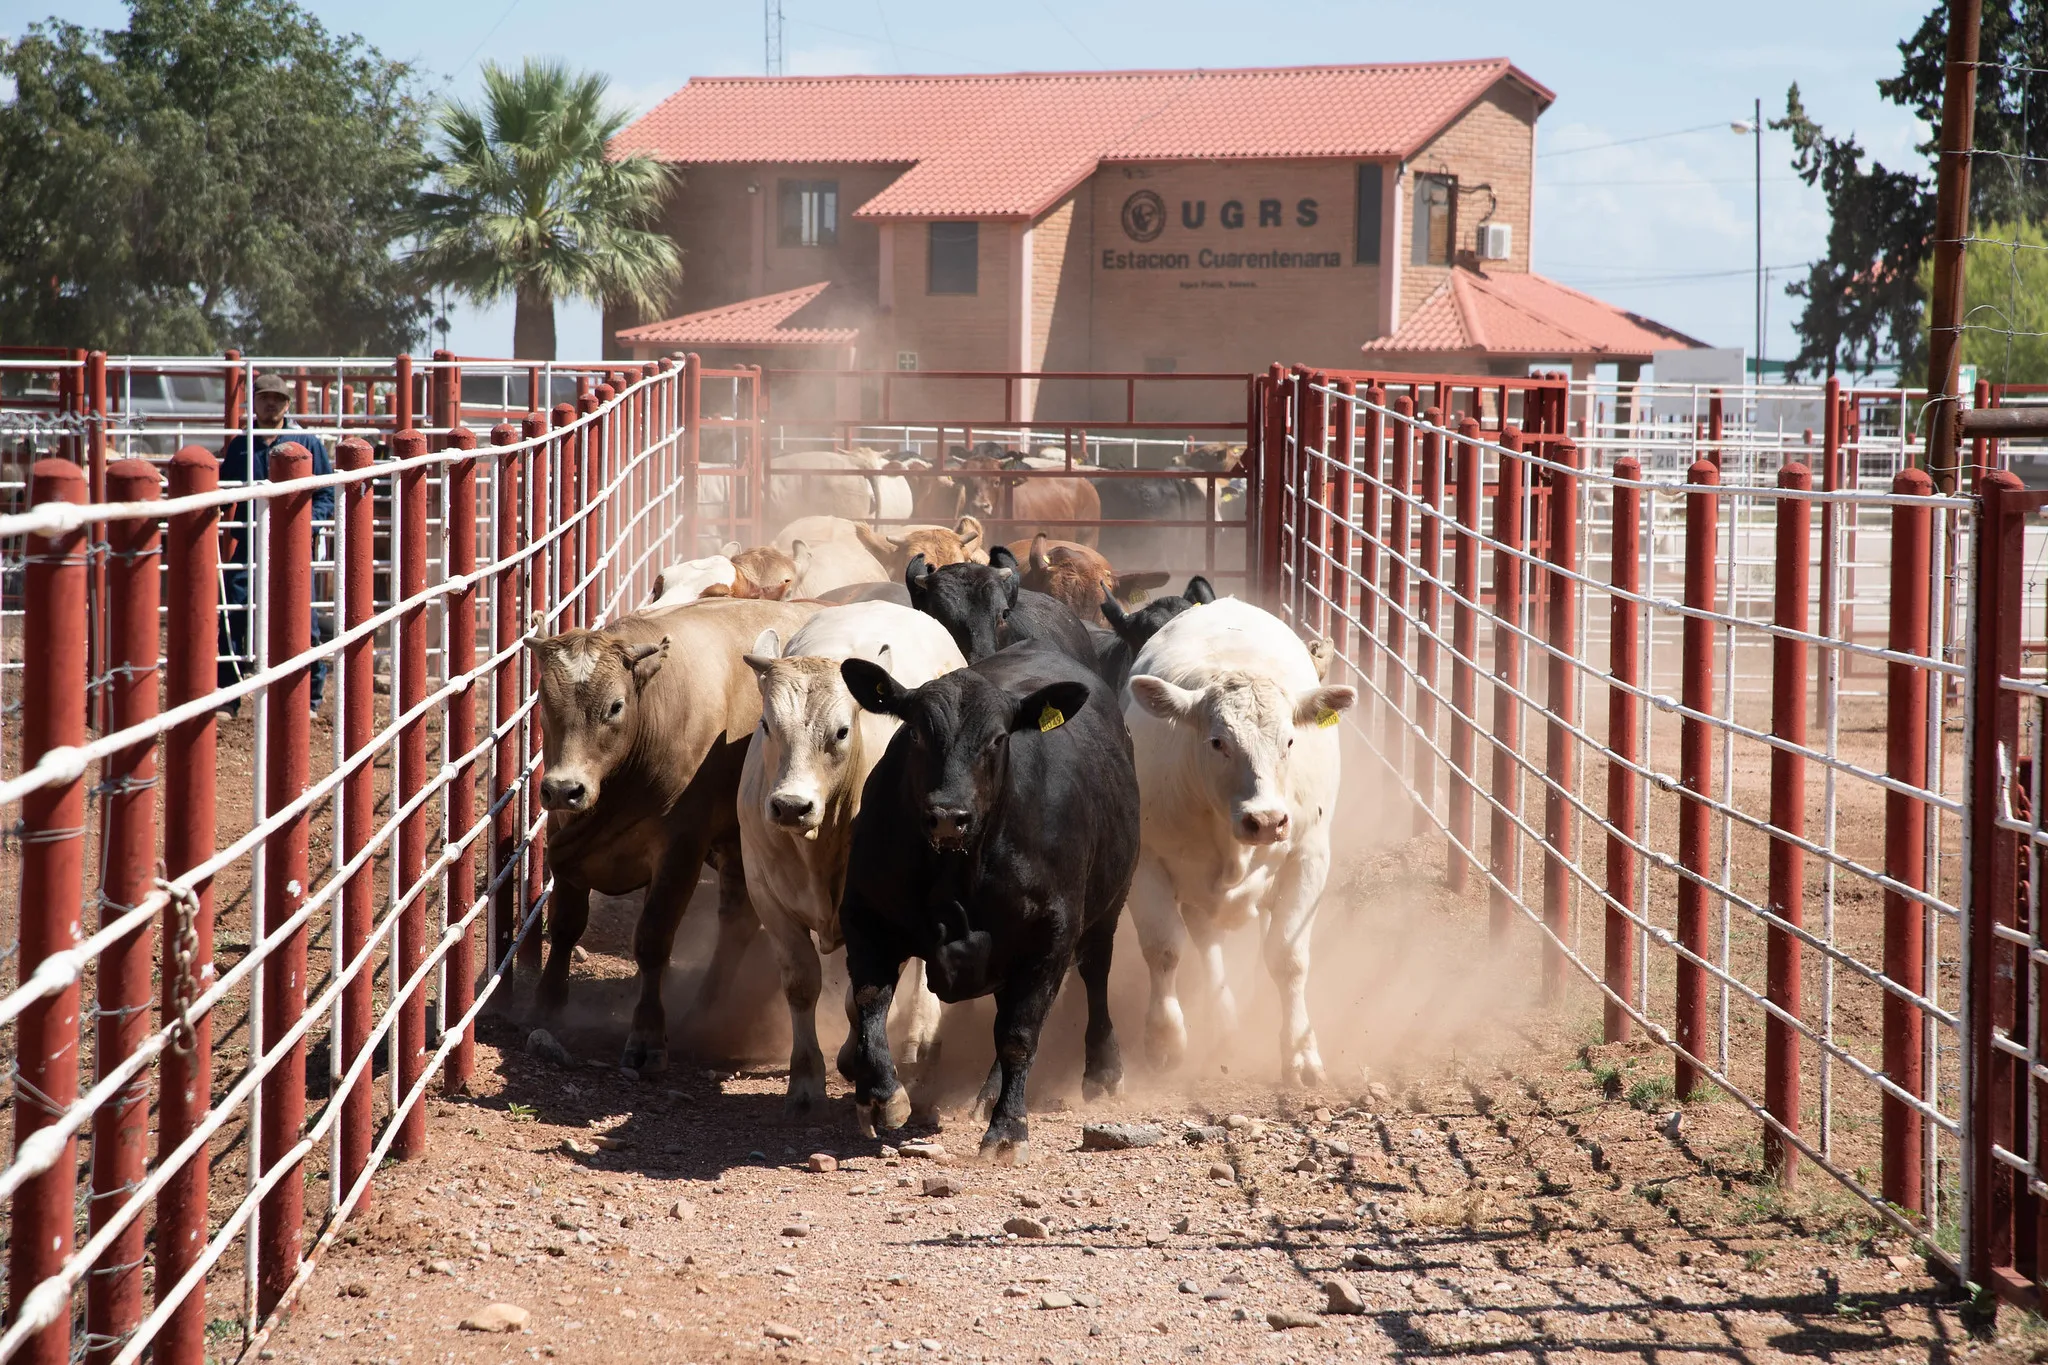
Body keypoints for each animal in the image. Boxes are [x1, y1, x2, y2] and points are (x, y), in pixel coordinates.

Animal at [527, 596, 820, 1074]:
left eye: (615, 706)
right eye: (545, 699)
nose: (564, 789)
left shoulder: (680, 852)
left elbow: (652, 938)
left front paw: (647, 1036)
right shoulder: (566, 838)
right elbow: (568, 924)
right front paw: (548, 1003)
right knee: (736, 919)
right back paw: (707, 1005)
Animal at [737, 603, 966, 1117]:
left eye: (841, 731)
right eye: (766, 726)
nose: (791, 806)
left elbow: (863, 993)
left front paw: (857, 1063)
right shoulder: (766, 897)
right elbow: (802, 983)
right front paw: (806, 1082)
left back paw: (921, 1037)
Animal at [836, 640, 1140, 1161]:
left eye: (998, 740)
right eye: (915, 732)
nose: (947, 815)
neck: (958, 873)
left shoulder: (1050, 938)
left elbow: (1020, 1035)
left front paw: (1008, 1129)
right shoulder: (865, 913)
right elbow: (870, 999)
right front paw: (881, 1095)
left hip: (1108, 906)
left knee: (1094, 975)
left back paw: (1102, 1070)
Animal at [1121, 598, 1356, 1085]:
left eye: (1290, 739)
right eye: (1217, 742)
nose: (1265, 820)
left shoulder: (1309, 857)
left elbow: (1288, 956)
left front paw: (1300, 1051)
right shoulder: (1146, 863)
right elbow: (1164, 949)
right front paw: (1165, 1040)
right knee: (1206, 941)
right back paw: (1223, 1018)